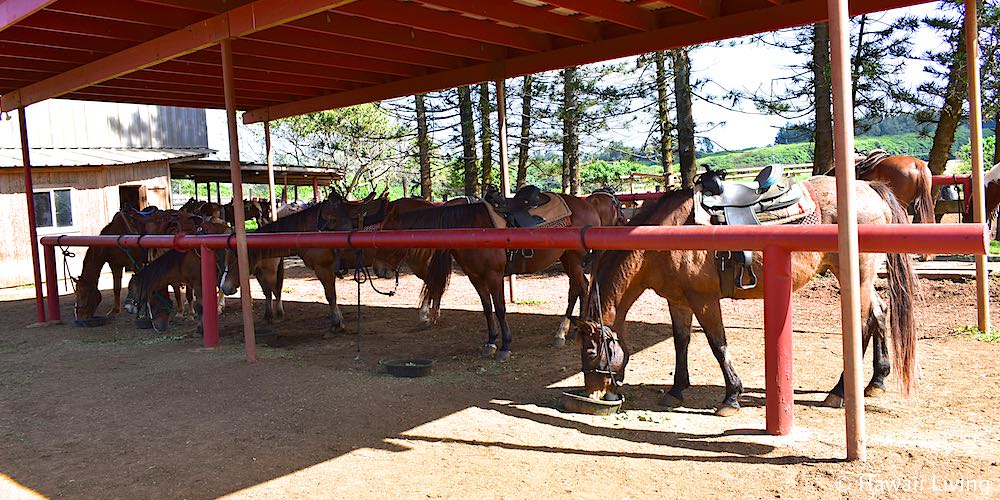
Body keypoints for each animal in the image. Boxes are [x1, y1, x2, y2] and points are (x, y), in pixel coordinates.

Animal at [219, 190, 386, 328]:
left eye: (236, 259)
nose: (224, 287)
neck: (307, 231)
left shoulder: (323, 268)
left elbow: (330, 296)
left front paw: (337, 323)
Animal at [374, 190, 600, 360]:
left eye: (387, 234)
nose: (378, 269)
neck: (469, 228)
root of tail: (589, 206)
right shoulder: (475, 277)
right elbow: (487, 308)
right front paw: (491, 342)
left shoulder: (494, 276)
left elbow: (500, 309)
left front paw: (505, 346)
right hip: (567, 259)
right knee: (581, 287)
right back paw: (575, 329)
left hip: (573, 259)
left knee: (576, 288)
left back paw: (562, 333)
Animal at [580, 174, 916, 416]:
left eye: (591, 351)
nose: (595, 392)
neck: (668, 234)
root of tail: (870, 188)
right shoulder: (677, 300)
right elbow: (680, 342)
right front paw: (676, 390)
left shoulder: (704, 299)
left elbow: (718, 344)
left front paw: (731, 397)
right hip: (859, 277)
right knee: (879, 315)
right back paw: (875, 381)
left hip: (856, 274)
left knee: (862, 325)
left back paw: (839, 392)